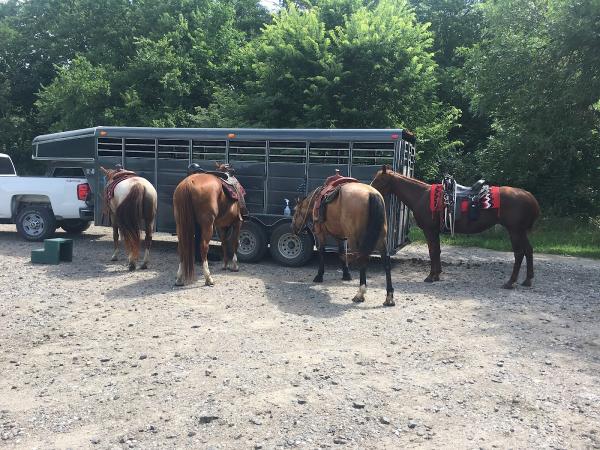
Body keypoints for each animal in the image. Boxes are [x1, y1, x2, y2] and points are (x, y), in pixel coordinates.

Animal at [290, 174, 394, 308]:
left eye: (295, 211)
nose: (293, 228)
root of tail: (372, 194)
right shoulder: (341, 236)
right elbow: (341, 252)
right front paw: (346, 274)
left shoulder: (319, 234)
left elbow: (322, 252)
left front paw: (319, 275)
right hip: (382, 239)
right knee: (386, 262)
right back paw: (389, 297)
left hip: (355, 238)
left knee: (362, 259)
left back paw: (360, 294)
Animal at [370, 165, 540, 288]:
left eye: (379, 180)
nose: (370, 189)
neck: (421, 196)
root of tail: (529, 196)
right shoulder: (435, 231)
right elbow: (437, 251)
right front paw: (437, 275)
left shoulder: (429, 230)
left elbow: (432, 252)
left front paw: (431, 276)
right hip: (521, 231)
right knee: (528, 250)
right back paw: (527, 280)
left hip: (515, 231)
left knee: (519, 253)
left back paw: (510, 282)